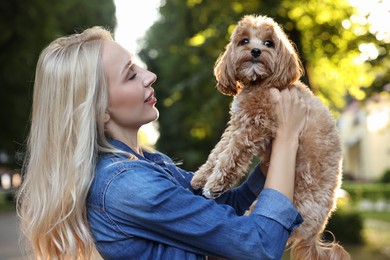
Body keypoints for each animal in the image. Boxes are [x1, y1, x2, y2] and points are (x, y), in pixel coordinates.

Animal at [191, 14, 350, 260]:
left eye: (269, 43)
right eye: (244, 40)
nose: (256, 51)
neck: (260, 83)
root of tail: (315, 232)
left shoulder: (254, 128)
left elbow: (230, 157)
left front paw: (215, 184)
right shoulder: (237, 125)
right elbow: (217, 152)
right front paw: (200, 178)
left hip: (296, 206)